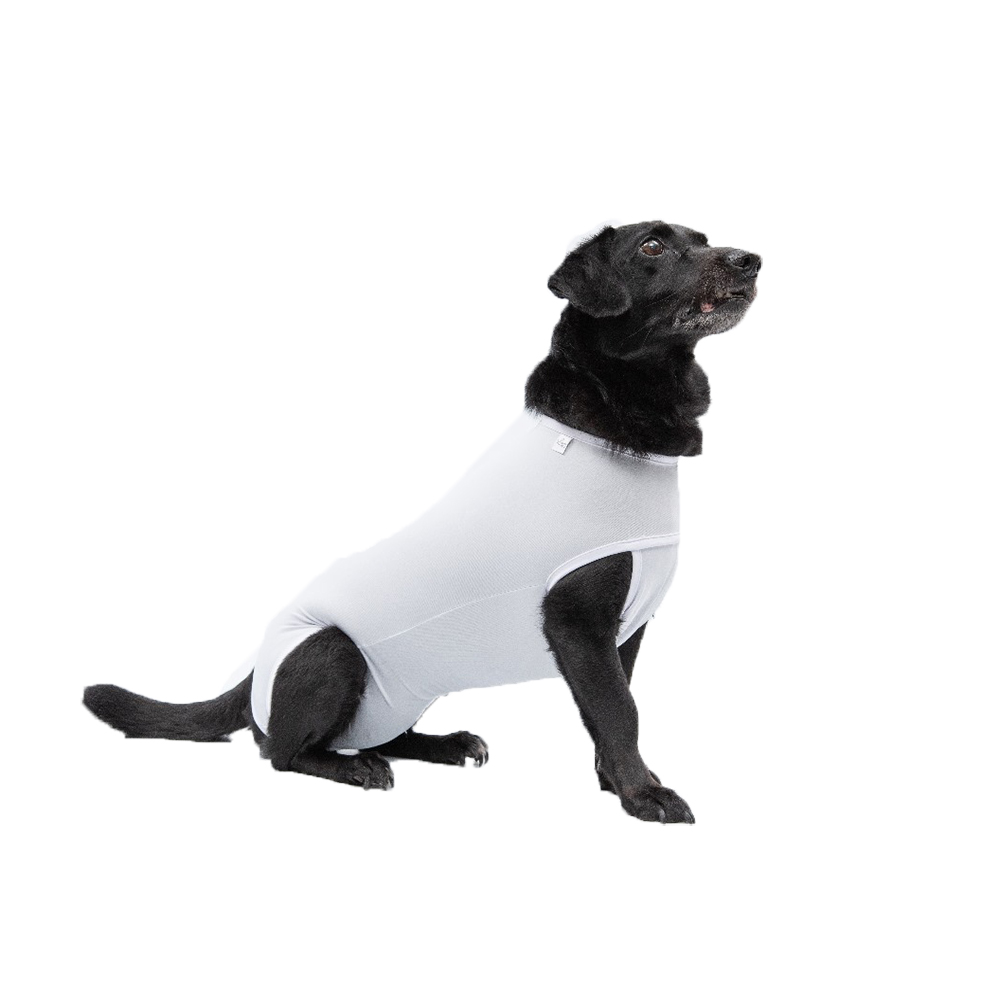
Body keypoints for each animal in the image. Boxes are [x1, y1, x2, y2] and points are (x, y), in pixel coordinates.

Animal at [84, 221, 760, 824]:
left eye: (702, 240)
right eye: (652, 245)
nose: (749, 259)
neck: (611, 424)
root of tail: (251, 673)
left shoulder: (626, 631)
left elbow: (613, 708)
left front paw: (616, 783)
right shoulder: (580, 622)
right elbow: (621, 711)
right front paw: (645, 796)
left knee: (380, 736)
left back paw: (445, 745)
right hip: (332, 648)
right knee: (278, 750)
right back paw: (353, 768)